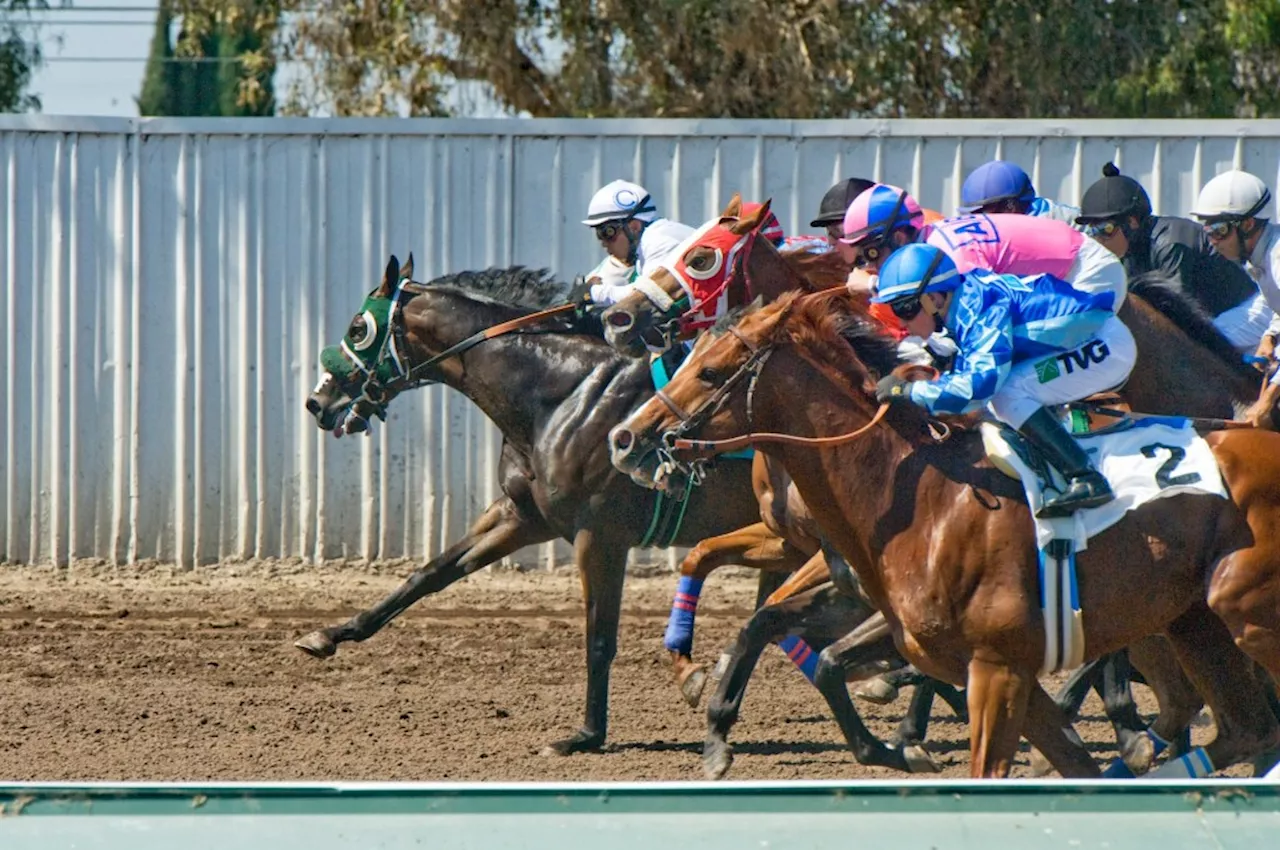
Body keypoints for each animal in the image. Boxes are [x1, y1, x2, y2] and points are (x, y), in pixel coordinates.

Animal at [299, 253, 768, 757]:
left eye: (357, 328)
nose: (317, 401)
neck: (563, 395)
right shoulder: (523, 516)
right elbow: (431, 572)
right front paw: (330, 634)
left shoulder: (599, 536)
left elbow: (599, 638)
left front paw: (587, 734)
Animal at [604, 286, 1280, 778]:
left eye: (711, 371)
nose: (626, 438)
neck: (923, 497)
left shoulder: (997, 667)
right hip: (1190, 624)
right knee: (1245, 728)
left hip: (1240, 612)